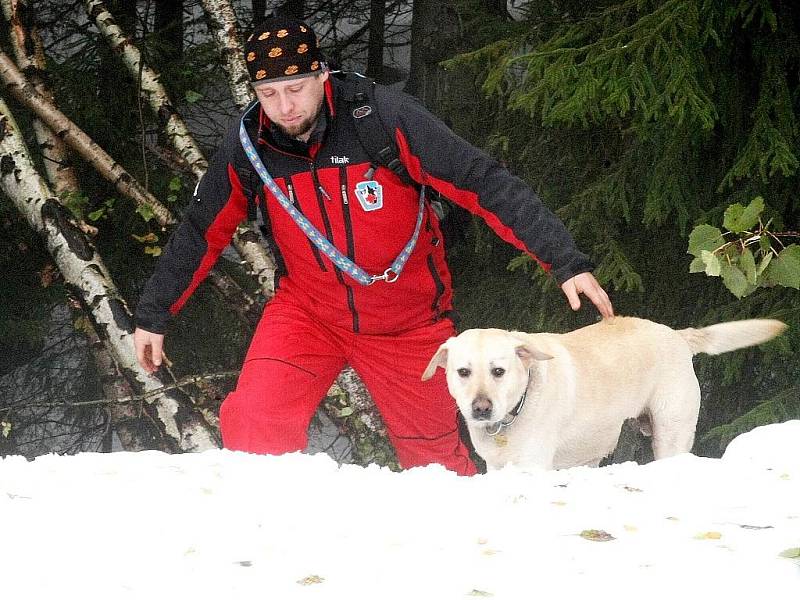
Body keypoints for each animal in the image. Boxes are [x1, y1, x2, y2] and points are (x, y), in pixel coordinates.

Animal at [422, 316, 784, 472]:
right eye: (463, 372)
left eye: (498, 371)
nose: (480, 408)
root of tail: (678, 335)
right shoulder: (497, 467)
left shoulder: (532, 466)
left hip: (671, 433)